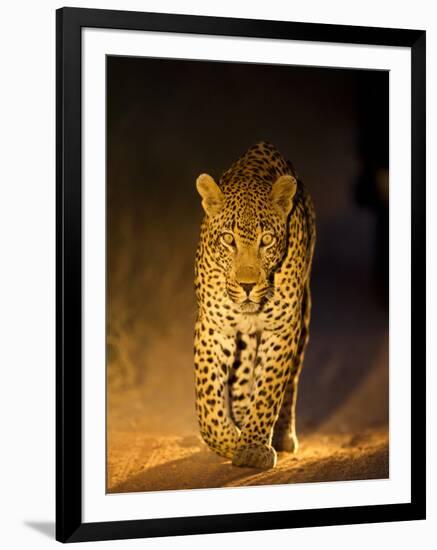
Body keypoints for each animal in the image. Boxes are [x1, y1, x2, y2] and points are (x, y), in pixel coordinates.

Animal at [193, 141, 314, 470]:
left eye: (267, 240)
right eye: (227, 239)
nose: (247, 285)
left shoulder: (282, 329)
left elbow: (269, 390)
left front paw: (252, 448)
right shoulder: (214, 327)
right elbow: (208, 401)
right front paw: (229, 441)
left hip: (303, 318)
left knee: (291, 382)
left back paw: (283, 435)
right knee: (241, 378)